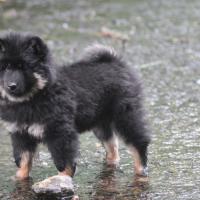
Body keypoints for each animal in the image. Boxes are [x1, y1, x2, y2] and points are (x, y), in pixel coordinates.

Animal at [0, 32, 150, 183]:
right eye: (5, 67)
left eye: (24, 67)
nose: (11, 86)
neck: (34, 97)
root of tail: (114, 61)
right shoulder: (20, 134)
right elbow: (23, 159)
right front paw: (20, 177)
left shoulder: (60, 132)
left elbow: (64, 161)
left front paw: (62, 179)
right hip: (100, 122)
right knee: (112, 146)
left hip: (125, 115)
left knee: (139, 143)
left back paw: (141, 170)